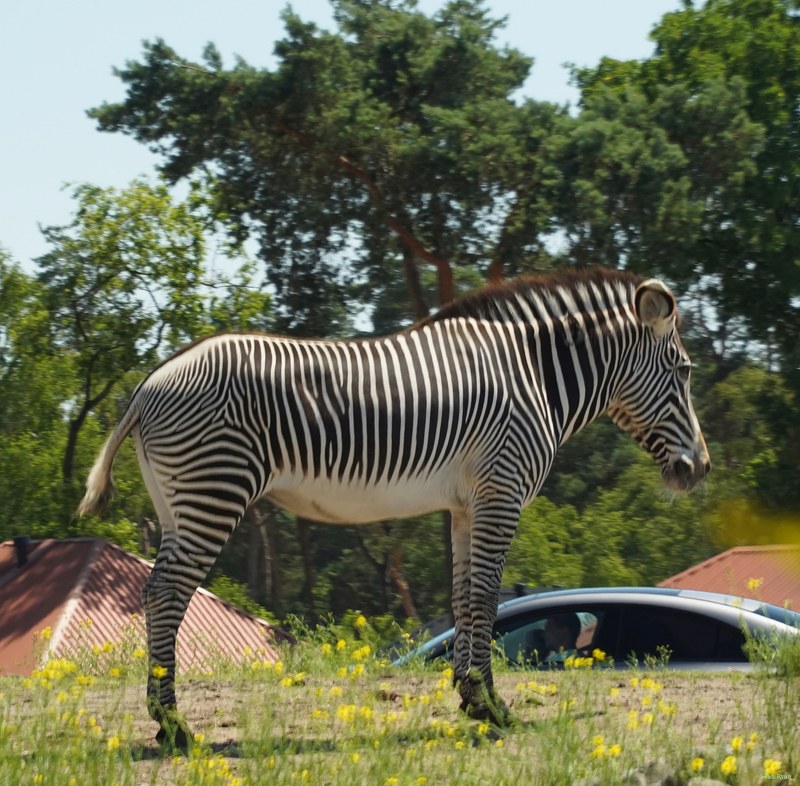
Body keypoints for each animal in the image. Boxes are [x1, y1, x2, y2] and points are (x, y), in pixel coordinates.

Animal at [78, 267, 710, 746]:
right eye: (682, 371)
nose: (698, 470)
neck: (535, 376)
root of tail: (150, 382)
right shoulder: (501, 492)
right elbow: (487, 598)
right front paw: (495, 709)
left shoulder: (466, 504)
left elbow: (464, 599)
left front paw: (471, 699)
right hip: (213, 490)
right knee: (167, 596)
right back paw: (174, 726)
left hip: (175, 505)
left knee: (156, 594)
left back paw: (165, 721)